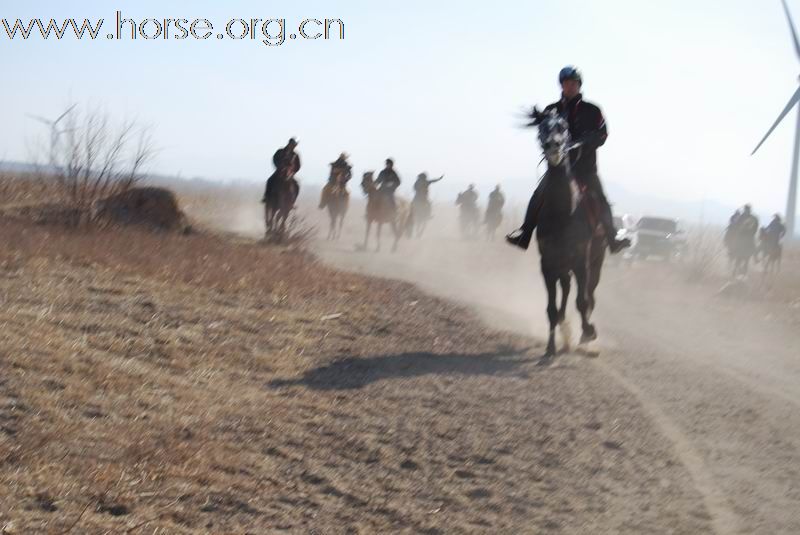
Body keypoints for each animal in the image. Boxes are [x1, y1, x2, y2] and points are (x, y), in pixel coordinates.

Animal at [532, 110, 608, 360]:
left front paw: (589, 332)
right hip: (561, 267)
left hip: (595, 262)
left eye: (563, 127)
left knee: (590, 294)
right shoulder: (547, 264)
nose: (553, 147)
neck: (563, 212)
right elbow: (551, 308)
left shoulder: (581, 261)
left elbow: (582, 301)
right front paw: (550, 349)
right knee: (565, 291)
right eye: (542, 127)